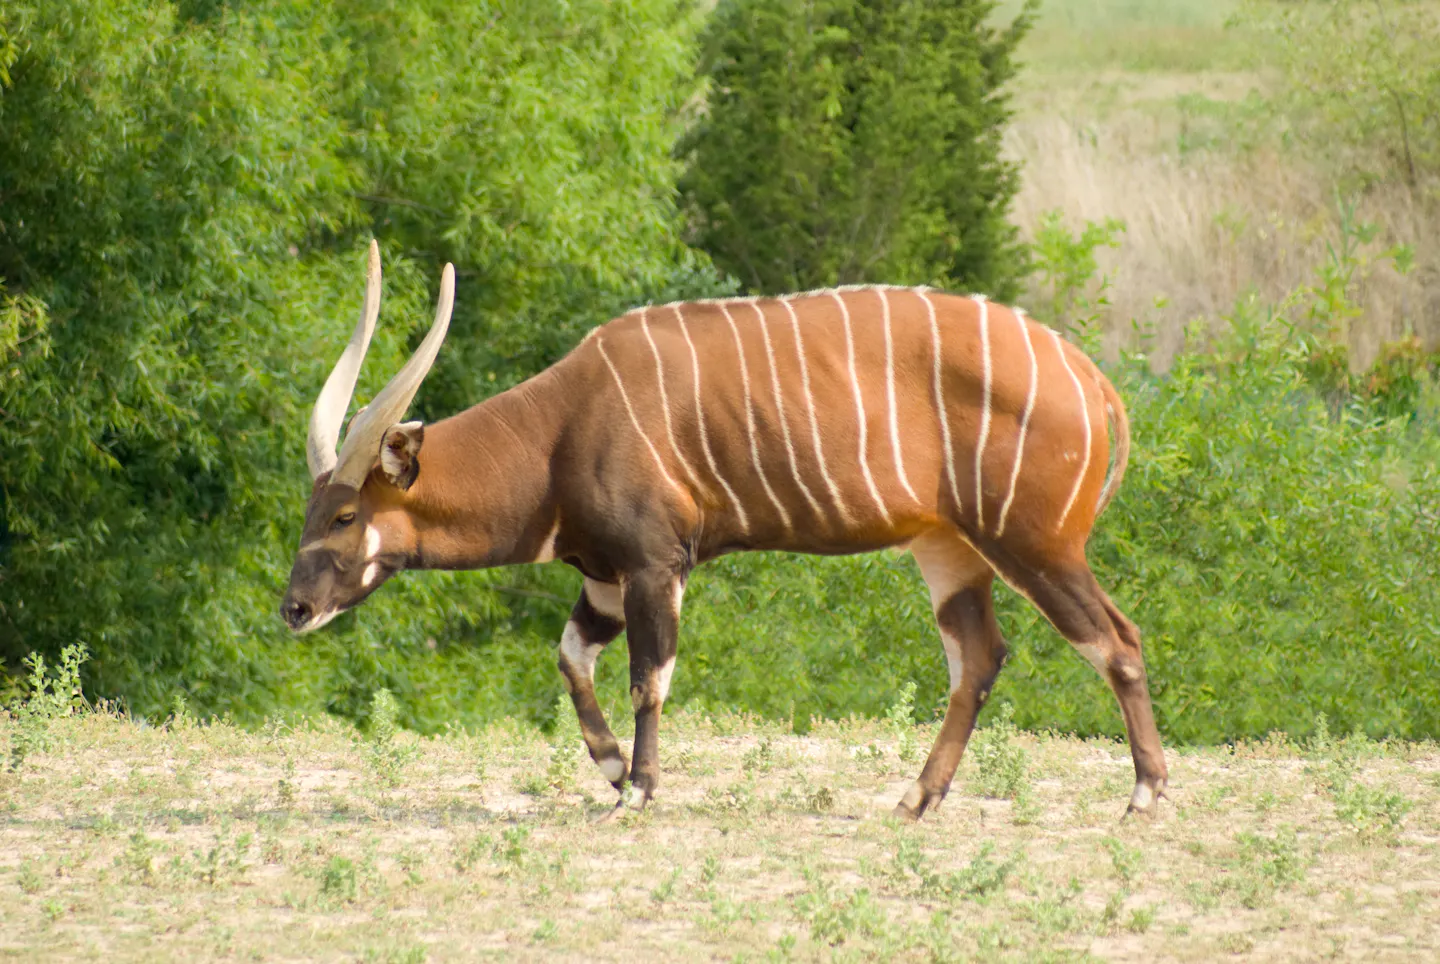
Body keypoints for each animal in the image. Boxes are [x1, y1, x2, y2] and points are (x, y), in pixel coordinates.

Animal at [282, 242, 1168, 820]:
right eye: (310, 511)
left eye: (347, 514)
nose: (294, 608)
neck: (565, 425)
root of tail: (1090, 379)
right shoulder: (603, 577)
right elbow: (571, 660)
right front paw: (611, 771)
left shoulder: (654, 567)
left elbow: (649, 679)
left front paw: (637, 792)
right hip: (950, 551)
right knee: (980, 657)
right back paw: (915, 800)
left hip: (1035, 545)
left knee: (1115, 640)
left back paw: (1144, 795)